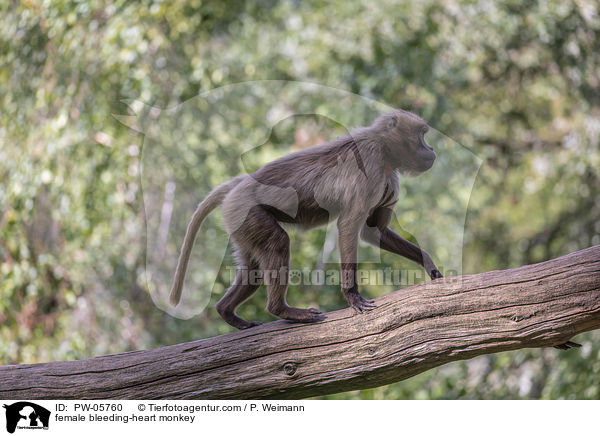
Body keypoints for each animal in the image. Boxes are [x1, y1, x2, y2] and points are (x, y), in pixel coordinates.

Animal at [166, 110, 442, 328]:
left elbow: (374, 231)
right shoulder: (372, 164)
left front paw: (428, 263)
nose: (432, 150)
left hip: (239, 221)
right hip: (246, 210)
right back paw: (281, 310)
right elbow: (349, 226)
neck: (384, 147)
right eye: (422, 135)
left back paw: (227, 312)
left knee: (253, 269)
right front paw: (352, 295)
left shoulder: (389, 177)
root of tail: (240, 183)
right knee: (278, 242)